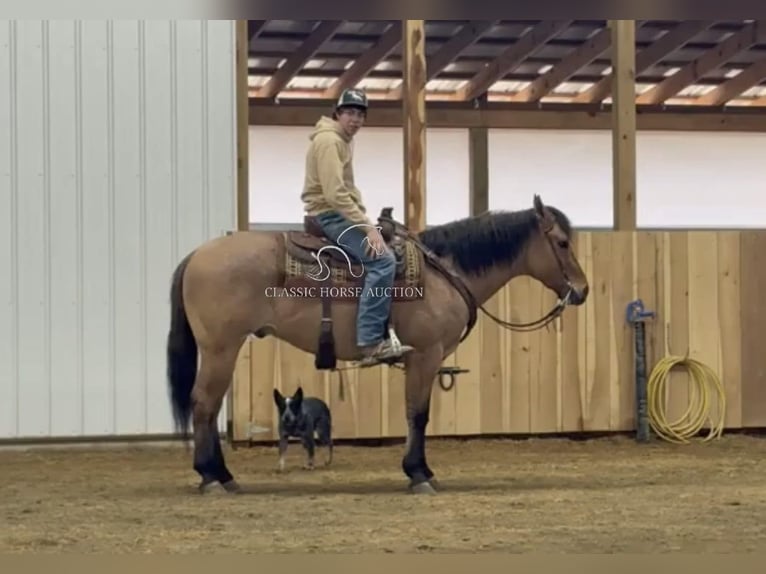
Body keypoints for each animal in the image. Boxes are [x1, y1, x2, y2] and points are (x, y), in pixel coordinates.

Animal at [165, 194, 592, 496]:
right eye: (561, 242)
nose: (583, 290)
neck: (445, 272)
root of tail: (196, 255)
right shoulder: (425, 355)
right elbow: (417, 414)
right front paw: (419, 473)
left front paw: (421, 470)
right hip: (221, 348)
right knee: (203, 404)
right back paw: (211, 477)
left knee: (209, 406)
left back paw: (222, 475)